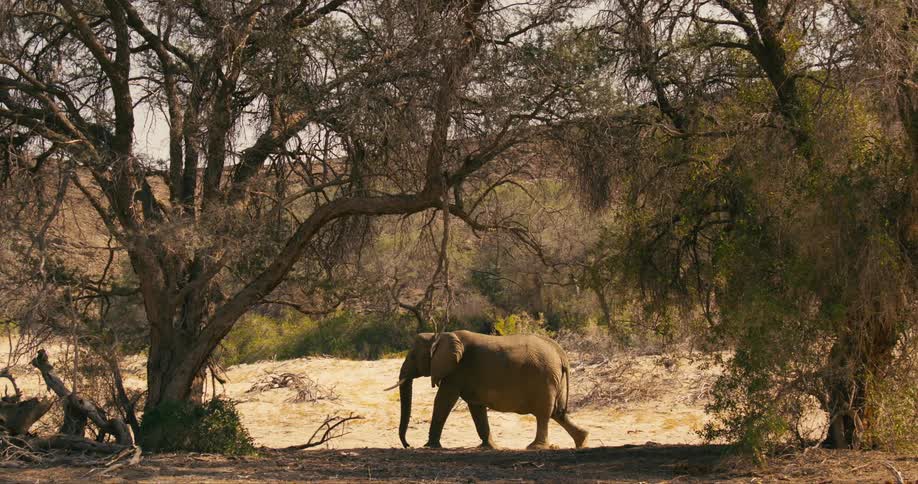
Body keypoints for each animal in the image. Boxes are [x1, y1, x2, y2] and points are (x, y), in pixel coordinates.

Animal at [385, 330, 589, 450]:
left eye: (412, 356)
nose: (408, 445)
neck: (439, 335)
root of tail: (561, 354)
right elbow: (476, 407)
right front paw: (489, 447)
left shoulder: (457, 370)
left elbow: (444, 400)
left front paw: (429, 446)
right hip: (554, 380)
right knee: (558, 413)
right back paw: (582, 441)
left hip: (544, 379)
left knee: (544, 414)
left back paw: (535, 447)